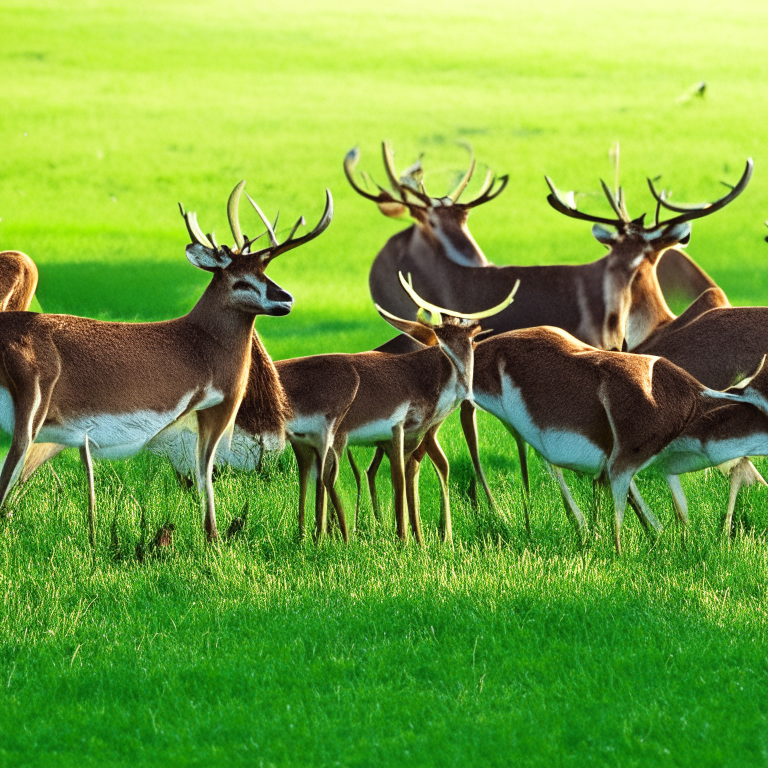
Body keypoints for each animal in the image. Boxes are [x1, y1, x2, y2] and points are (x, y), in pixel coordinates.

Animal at [0, 178, 330, 544]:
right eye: (239, 280)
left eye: (265, 273)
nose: (286, 299)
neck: (203, 339)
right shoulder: (219, 404)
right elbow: (205, 472)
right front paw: (213, 539)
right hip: (31, 407)